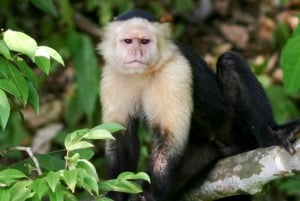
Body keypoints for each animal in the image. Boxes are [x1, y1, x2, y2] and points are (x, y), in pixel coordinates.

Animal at [97, 9, 300, 201]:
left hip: (235, 130)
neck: (142, 73)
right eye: (128, 41)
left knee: (230, 61)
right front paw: (116, 192)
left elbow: (169, 137)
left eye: (144, 41)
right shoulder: (111, 75)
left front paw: (150, 195)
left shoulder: (175, 70)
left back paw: (272, 135)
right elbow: (122, 138)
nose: (136, 53)